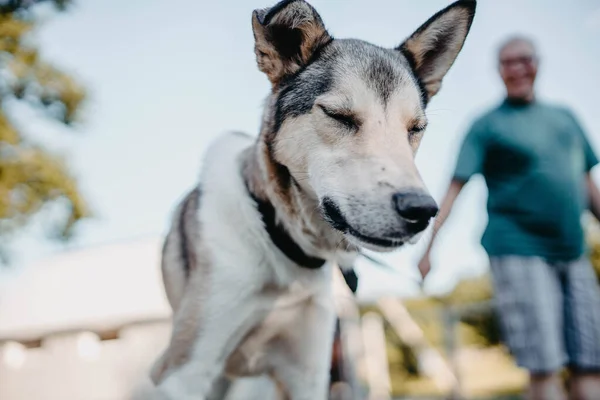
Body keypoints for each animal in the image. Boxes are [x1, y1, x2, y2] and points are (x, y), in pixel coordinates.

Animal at [148, 1, 476, 398]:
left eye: (415, 129)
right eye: (338, 116)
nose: (422, 211)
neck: (282, 241)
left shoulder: (308, 372)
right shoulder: (182, 372)